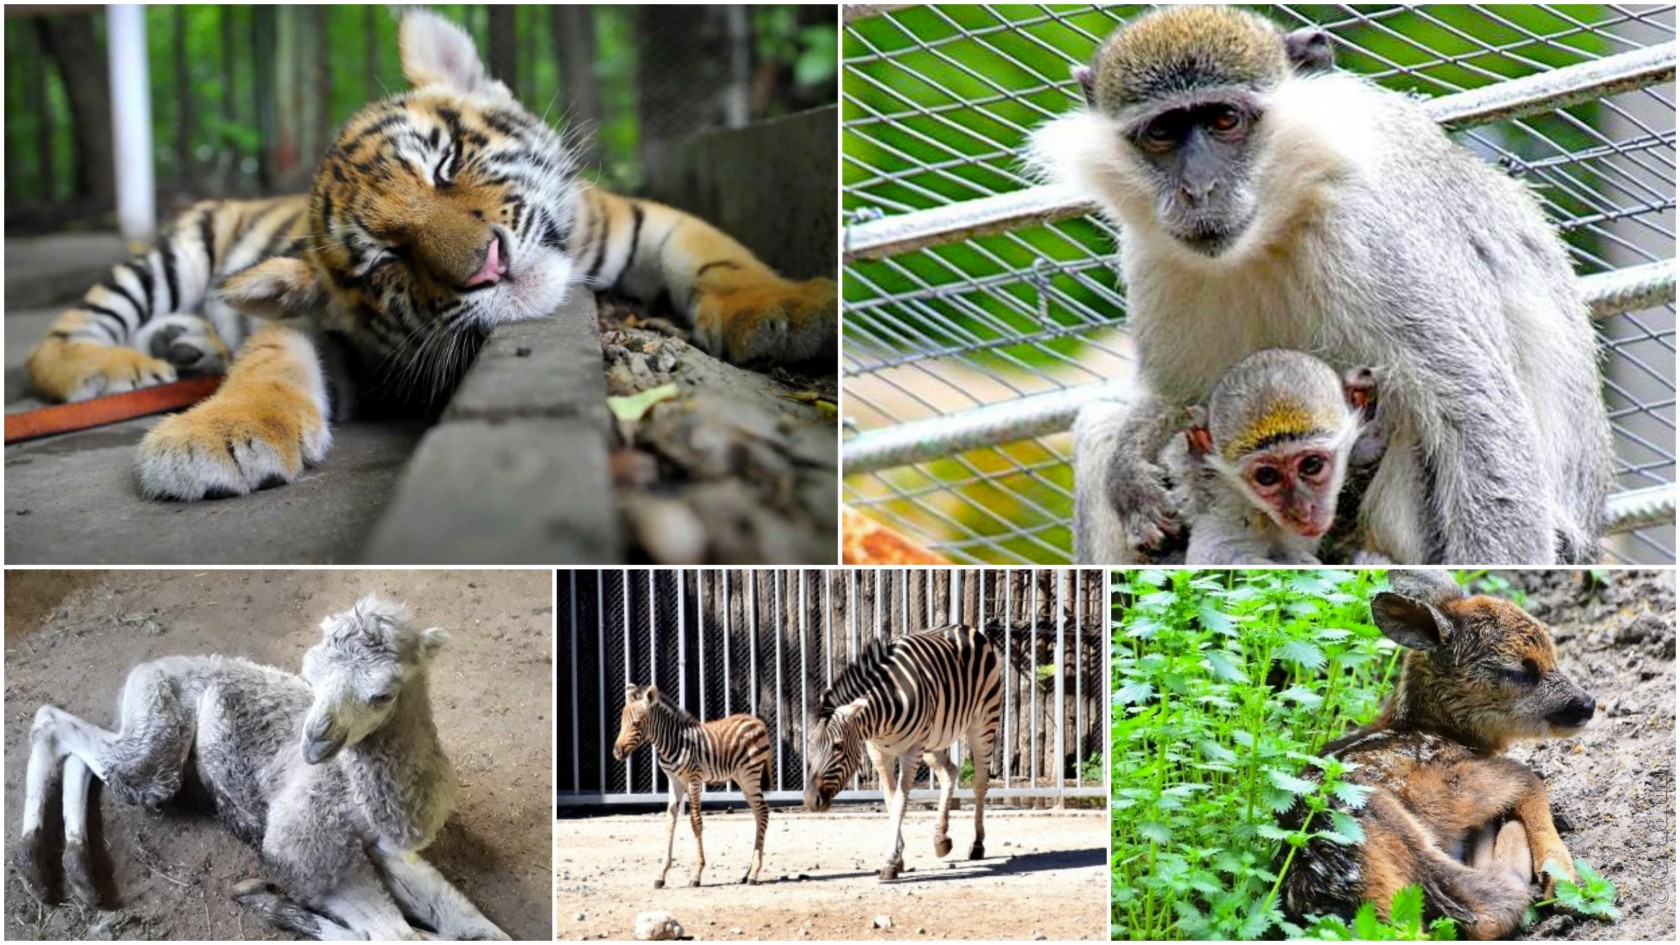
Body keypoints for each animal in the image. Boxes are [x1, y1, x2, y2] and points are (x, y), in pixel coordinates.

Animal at [18, 588, 503, 934]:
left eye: (383, 693)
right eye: (310, 675)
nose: (315, 741)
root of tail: (152, 666)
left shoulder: (386, 848)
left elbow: (474, 926)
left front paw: (265, 900)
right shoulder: (306, 845)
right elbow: (394, 933)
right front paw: (266, 899)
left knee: (90, 758)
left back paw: (80, 875)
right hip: (158, 746)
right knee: (53, 723)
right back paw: (37, 870)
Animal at [614, 679, 776, 887]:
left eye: (636, 723)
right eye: (621, 722)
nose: (616, 752)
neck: (672, 742)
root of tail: (757, 721)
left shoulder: (693, 779)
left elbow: (695, 821)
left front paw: (696, 874)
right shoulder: (674, 781)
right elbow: (670, 821)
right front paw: (661, 874)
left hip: (750, 773)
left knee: (762, 811)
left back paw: (754, 874)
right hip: (741, 777)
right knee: (758, 812)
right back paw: (747, 874)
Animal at [799, 622, 994, 881]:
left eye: (837, 746)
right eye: (810, 745)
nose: (810, 801)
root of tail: (963, 626)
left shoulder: (911, 751)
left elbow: (901, 801)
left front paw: (891, 861)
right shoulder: (878, 751)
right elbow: (890, 801)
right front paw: (899, 856)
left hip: (983, 722)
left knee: (981, 782)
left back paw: (978, 844)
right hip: (933, 739)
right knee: (949, 772)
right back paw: (940, 839)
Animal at [1034, 5, 1612, 558]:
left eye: (1225, 118)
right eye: (1162, 133)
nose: (1198, 189)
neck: (1273, 230)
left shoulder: (1371, 231)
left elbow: (1477, 411)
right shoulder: (1152, 255)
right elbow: (1182, 396)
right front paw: (1129, 467)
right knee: (1099, 425)